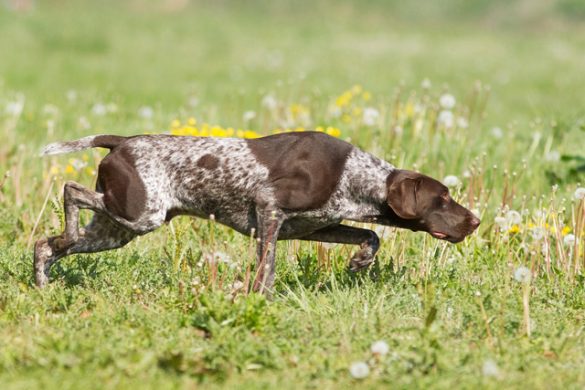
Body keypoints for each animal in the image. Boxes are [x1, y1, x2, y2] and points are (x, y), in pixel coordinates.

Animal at [34, 132, 480, 292]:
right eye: (442, 199)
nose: (475, 221)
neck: (354, 175)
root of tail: (122, 141)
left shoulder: (313, 226)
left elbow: (370, 234)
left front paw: (360, 261)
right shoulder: (268, 208)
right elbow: (266, 267)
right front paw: (257, 297)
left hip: (116, 228)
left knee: (46, 245)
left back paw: (43, 278)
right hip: (141, 213)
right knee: (70, 191)